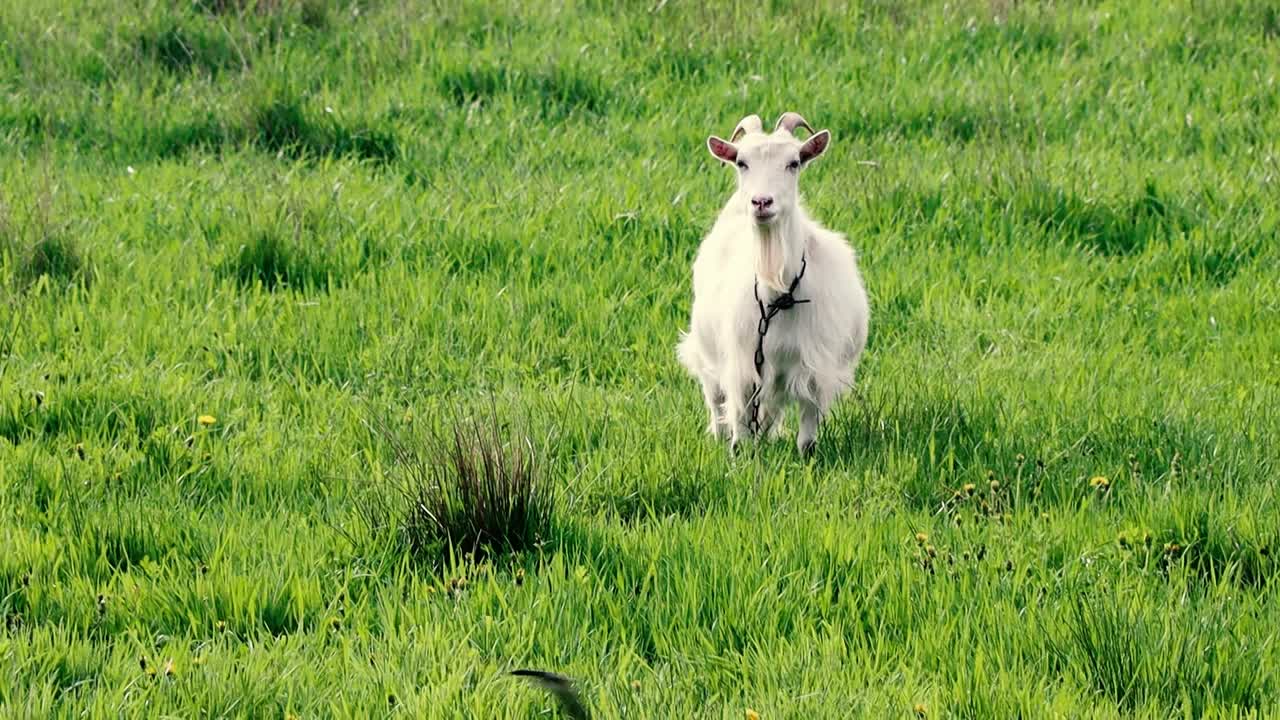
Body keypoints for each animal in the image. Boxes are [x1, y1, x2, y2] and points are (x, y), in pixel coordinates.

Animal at [680, 109, 870, 450]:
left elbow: (807, 436)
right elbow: (740, 426)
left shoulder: (814, 367)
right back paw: (718, 433)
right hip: (705, 349)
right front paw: (739, 454)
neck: (778, 292)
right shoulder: (743, 366)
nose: (761, 202)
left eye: (794, 162)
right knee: (714, 398)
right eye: (741, 162)